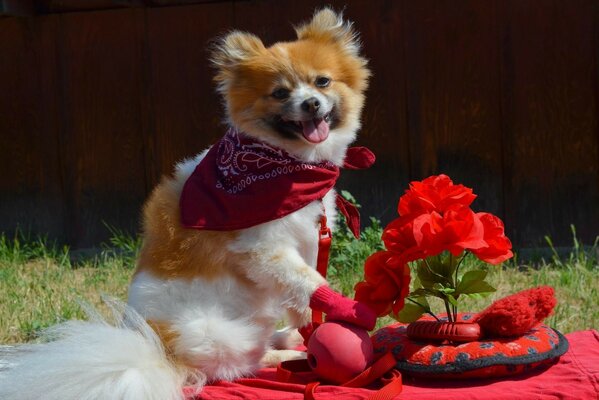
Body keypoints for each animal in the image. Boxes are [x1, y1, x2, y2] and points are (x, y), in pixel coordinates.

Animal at [0, 8, 376, 400]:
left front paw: (309, 325)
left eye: (322, 82)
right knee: (239, 364)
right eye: (279, 93)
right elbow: (309, 281)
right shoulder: (263, 249)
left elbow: (301, 296)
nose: (311, 103)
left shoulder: (307, 240)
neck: (289, 165)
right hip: (222, 334)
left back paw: (286, 338)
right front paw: (345, 309)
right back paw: (286, 353)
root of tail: (159, 353)